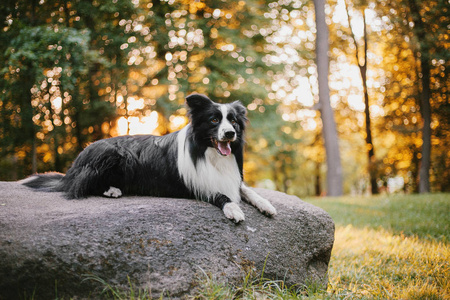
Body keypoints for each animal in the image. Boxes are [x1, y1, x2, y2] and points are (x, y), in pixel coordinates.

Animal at [21, 94, 278, 223]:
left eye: (233, 121)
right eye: (214, 120)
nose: (230, 134)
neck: (207, 152)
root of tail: (75, 164)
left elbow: (246, 189)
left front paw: (265, 204)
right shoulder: (197, 184)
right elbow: (221, 195)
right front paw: (233, 209)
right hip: (112, 154)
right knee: (81, 185)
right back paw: (111, 189)